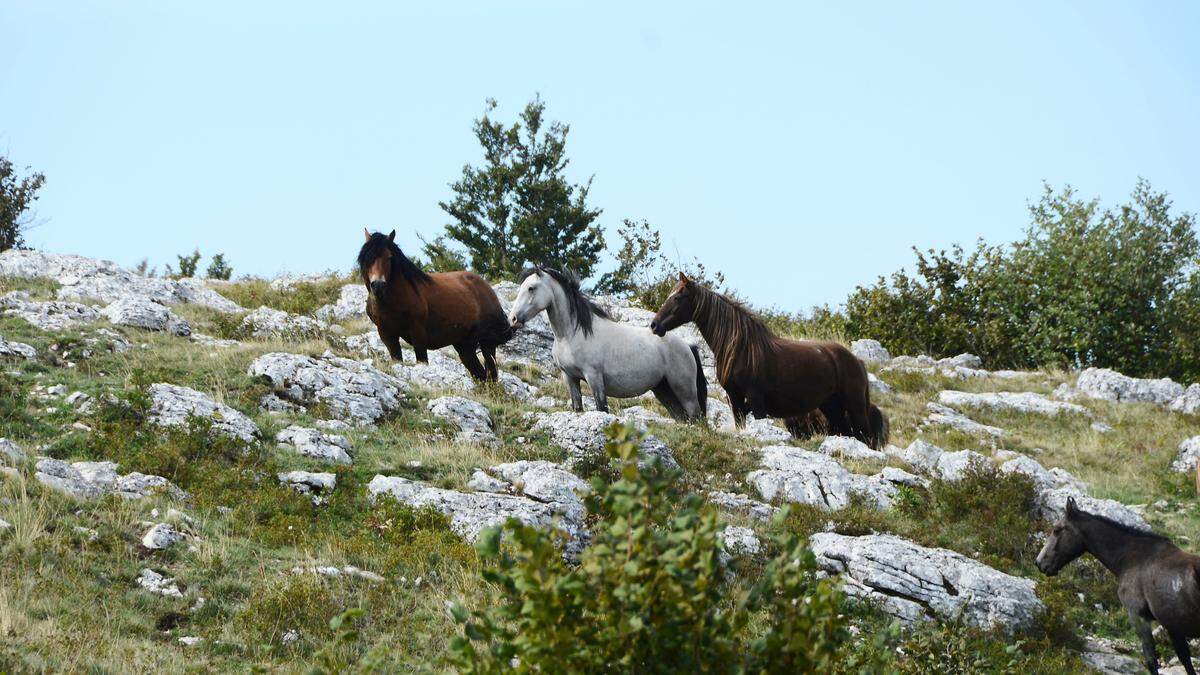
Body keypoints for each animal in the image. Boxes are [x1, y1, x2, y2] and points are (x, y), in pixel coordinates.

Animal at [352, 228, 508, 379]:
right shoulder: (387, 335)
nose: (378, 285)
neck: (392, 301)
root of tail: (488, 289)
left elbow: (422, 360)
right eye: (367, 258)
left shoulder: (418, 334)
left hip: (487, 343)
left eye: (389, 257)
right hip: (465, 345)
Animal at [504, 265, 705, 417]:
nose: (513, 319)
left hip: (685, 392)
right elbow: (578, 407)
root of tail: (688, 346)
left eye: (531, 288)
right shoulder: (570, 377)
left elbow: (602, 409)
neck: (572, 334)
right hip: (664, 391)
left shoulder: (594, 377)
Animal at [652, 270, 888, 449]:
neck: (741, 349)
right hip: (832, 407)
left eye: (677, 297)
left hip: (855, 407)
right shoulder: (735, 399)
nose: (655, 325)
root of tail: (857, 361)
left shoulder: (756, 401)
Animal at [1036, 494, 1195, 672]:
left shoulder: (1138, 616)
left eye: (1057, 530)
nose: (1039, 563)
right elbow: (1185, 660)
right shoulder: (1172, 626)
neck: (1132, 559)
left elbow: (1151, 660)